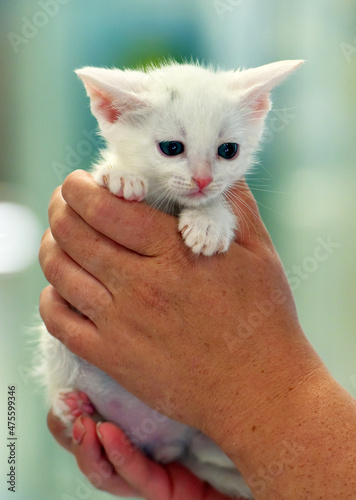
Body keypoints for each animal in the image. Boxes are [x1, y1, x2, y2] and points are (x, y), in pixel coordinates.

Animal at [41, 60, 304, 498]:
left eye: (228, 151)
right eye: (171, 148)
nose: (202, 180)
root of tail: (161, 440)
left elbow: (222, 201)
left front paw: (209, 221)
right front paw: (119, 175)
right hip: (57, 348)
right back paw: (71, 404)